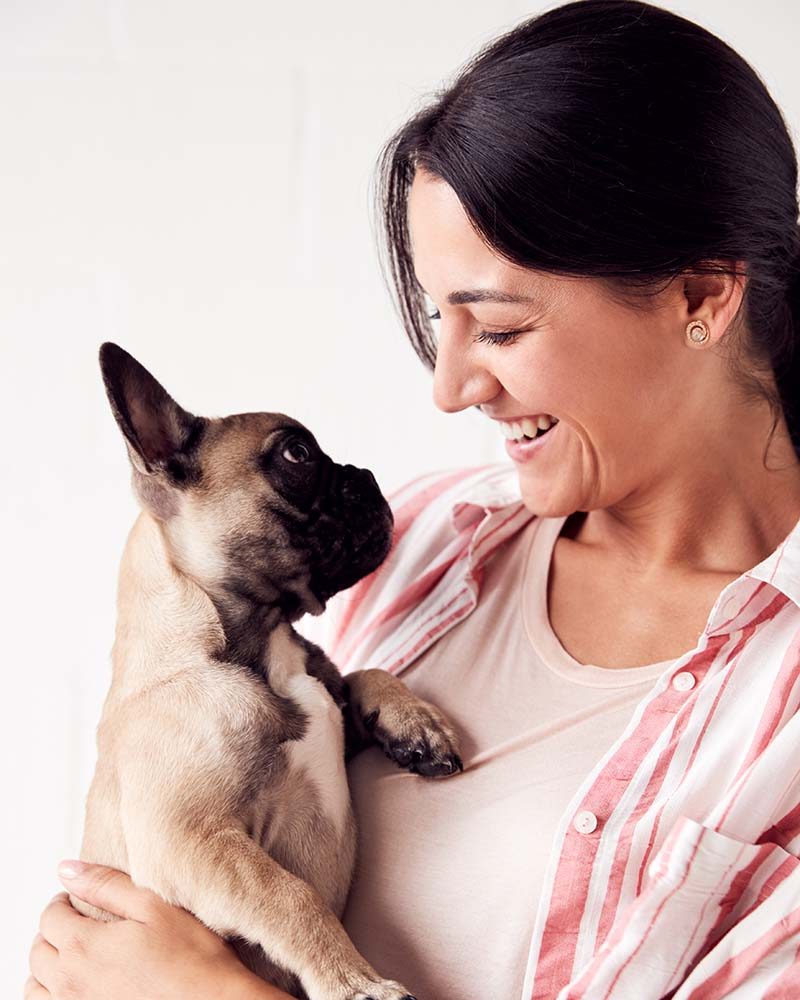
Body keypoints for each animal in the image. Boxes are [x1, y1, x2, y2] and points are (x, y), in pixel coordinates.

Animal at [75, 346, 466, 1000]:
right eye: (297, 455)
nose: (365, 475)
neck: (261, 639)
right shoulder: (195, 837)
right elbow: (290, 898)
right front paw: (356, 983)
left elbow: (363, 672)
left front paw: (416, 724)